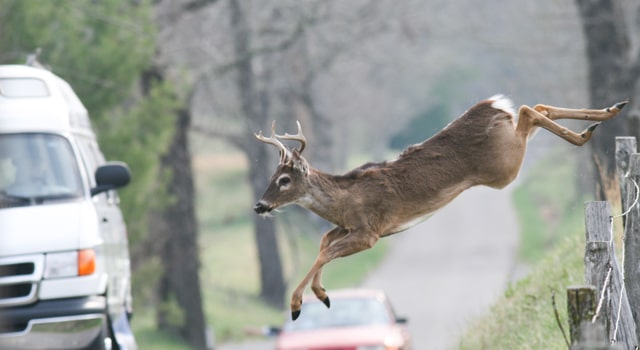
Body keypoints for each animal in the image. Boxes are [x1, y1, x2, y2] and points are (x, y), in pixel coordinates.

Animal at [252, 95, 628, 320]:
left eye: (283, 179)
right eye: (271, 176)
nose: (260, 205)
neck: (343, 200)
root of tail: (492, 105)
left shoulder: (369, 232)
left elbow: (324, 251)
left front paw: (298, 304)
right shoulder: (348, 228)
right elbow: (323, 243)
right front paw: (322, 293)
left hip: (505, 167)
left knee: (528, 110)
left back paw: (587, 131)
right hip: (508, 153)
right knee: (536, 107)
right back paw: (608, 113)